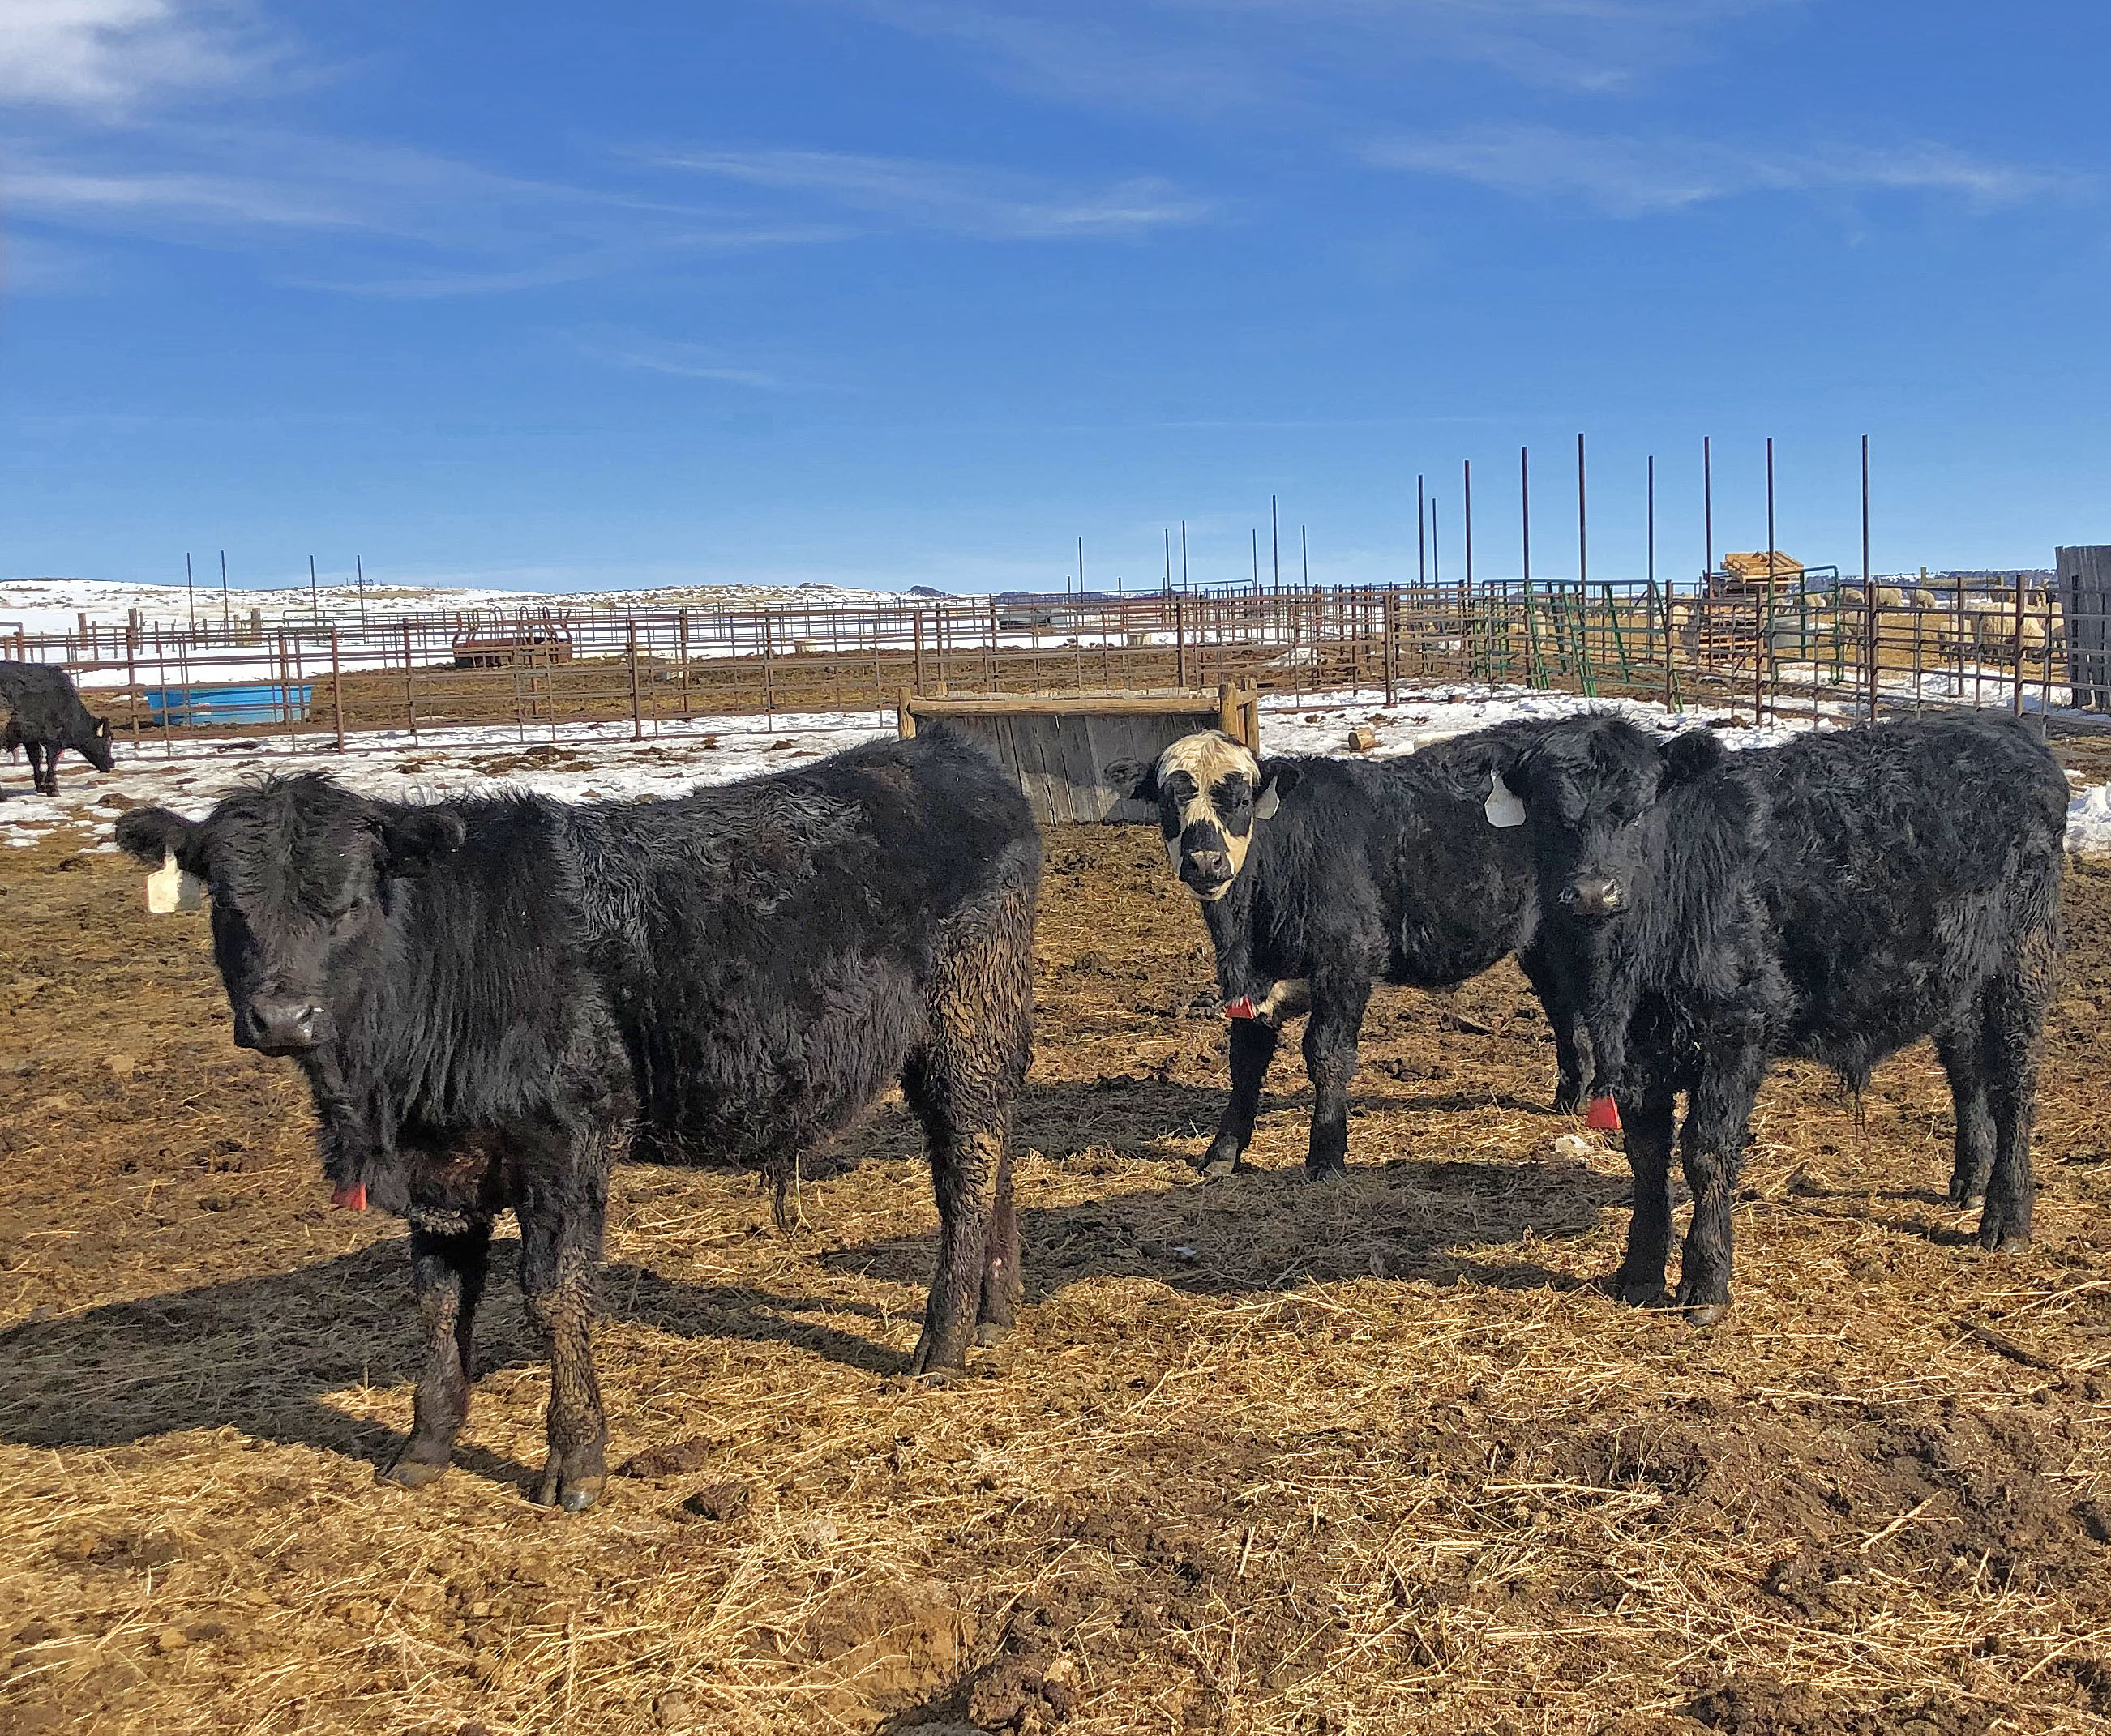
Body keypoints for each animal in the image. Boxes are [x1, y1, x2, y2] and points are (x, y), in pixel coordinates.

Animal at [0, 660, 116, 796]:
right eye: (107, 741)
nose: (112, 763)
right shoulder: (54, 739)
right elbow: (52, 761)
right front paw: (53, 789)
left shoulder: (30, 739)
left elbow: (36, 759)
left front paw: (41, 786)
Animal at [114, 727, 1040, 1511]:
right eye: (226, 904)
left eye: (348, 903)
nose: (282, 1017)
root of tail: (941, 750)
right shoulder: (439, 1174)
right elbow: (438, 1301)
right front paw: (424, 1446)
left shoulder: (565, 1142)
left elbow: (552, 1297)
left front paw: (576, 1459)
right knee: (991, 1152)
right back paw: (996, 1311)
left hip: (966, 1022)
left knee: (965, 1166)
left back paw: (944, 1341)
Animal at [1104, 728, 1588, 1180]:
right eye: (1168, 803)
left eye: (1241, 800)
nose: (1206, 863)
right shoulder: (1246, 981)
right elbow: (1245, 1063)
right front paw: (1223, 1152)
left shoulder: (1347, 962)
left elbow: (1327, 1053)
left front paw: (1325, 1156)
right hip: (1539, 942)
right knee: (1562, 1007)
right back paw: (1570, 1097)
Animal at [1444, 712, 2066, 1325]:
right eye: (1551, 812)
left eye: (1638, 807)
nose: (1595, 892)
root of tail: (2007, 729)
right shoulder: (1640, 1051)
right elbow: (1647, 1157)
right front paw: (1638, 1273)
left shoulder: (1737, 1027)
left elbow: (1706, 1150)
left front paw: (1705, 1282)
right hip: (1958, 977)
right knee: (1967, 1069)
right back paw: (1969, 1181)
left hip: (2023, 959)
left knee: (2015, 1084)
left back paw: (2006, 1218)